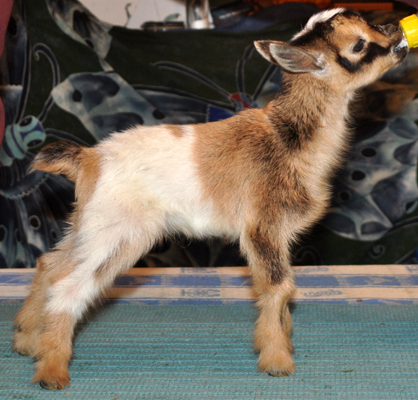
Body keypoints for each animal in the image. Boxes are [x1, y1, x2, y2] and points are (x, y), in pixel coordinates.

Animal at [13, 8, 408, 390]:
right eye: (358, 45)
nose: (397, 33)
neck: (288, 137)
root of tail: (90, 158)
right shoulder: (262, 228)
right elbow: (279, 286)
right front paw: (277, 360)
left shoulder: (280, 235)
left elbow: (280, 289)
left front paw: (282, 340)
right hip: (118, 232)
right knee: (69, 285)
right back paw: (52, 371)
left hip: (89, 225)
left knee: (50, 265)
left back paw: (26, 340)